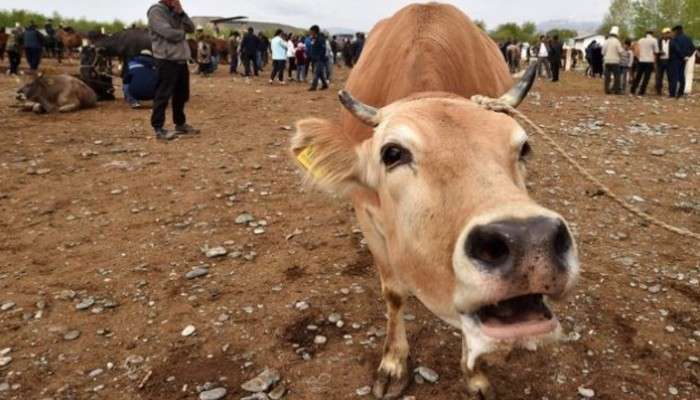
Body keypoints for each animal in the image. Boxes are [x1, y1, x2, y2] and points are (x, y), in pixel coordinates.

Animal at [292, 3, 580, 400]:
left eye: (523, 147)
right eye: (392, 153)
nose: (529, 241)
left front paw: (475, 374)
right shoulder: (366, 214)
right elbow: (394, 293)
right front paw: (393, 364)